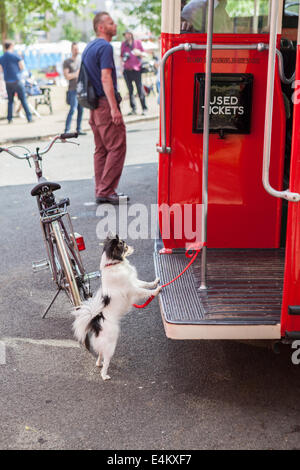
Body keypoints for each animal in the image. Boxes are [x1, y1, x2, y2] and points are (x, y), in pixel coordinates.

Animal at [72, 233, 161, 380]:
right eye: (125, 246)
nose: (132, 246)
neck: (113, 264)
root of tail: (96, 321)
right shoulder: (133, 290)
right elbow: (144, 291)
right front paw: (156, 290)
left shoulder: (134, 282)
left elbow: (144, 283)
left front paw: (155, 282)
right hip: (111, 345)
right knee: (106, 361)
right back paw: (104, 375)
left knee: (100, 354)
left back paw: (98, 363)